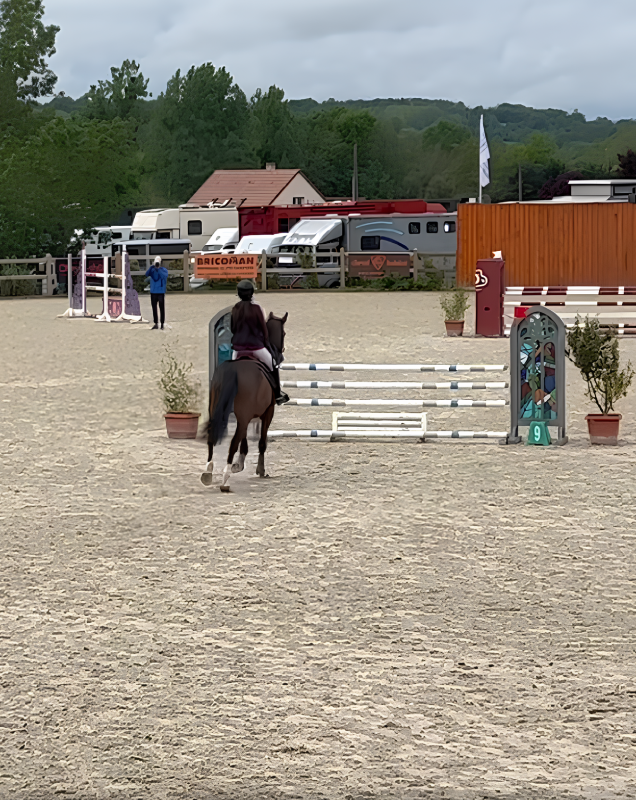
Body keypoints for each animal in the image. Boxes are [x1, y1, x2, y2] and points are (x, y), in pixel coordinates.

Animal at [201, 314, 288, 494]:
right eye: (283, 333)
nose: (281, 354)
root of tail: (233, 370)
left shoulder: (246, 416)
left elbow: (245, 440)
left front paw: (239, 464)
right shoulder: (267, 412)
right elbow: (261, 442)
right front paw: (260, 470)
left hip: (217, 411)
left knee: (213, 437)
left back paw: (208, 473)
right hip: (246, 415)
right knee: (234, 442)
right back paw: (225, 479)